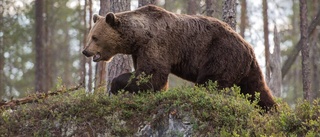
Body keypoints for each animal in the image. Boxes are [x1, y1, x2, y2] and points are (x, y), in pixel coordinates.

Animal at [82, 5, 276, 110]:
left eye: (95, 37)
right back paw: (271, 110)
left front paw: (115, 85)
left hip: (221, 54)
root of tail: (249, 48)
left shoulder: (157, 44)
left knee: (209, 81)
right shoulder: (139, 50)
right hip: (245, 68)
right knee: (257, 91)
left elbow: (152, 74)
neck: (139, 36)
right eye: (90, 35)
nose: (85, 51)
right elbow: (150, 76)